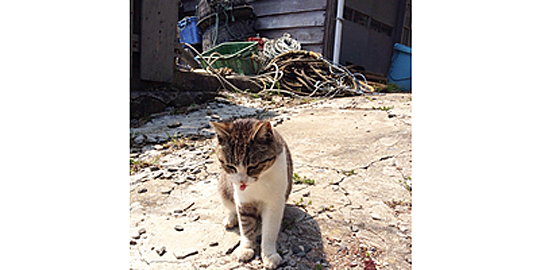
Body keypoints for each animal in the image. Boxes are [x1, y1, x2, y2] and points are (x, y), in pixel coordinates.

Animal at [210, 118, 294, 270]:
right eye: (231, 166)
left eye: (253, 166)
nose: (242, 181)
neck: (258, 182)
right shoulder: (243, 201)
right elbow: (245, 225)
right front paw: (246, 247)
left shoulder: (274, 203)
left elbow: (269, 230)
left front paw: (269, 254)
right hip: (224, 187)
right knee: (232, 207)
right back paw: (231, 218)